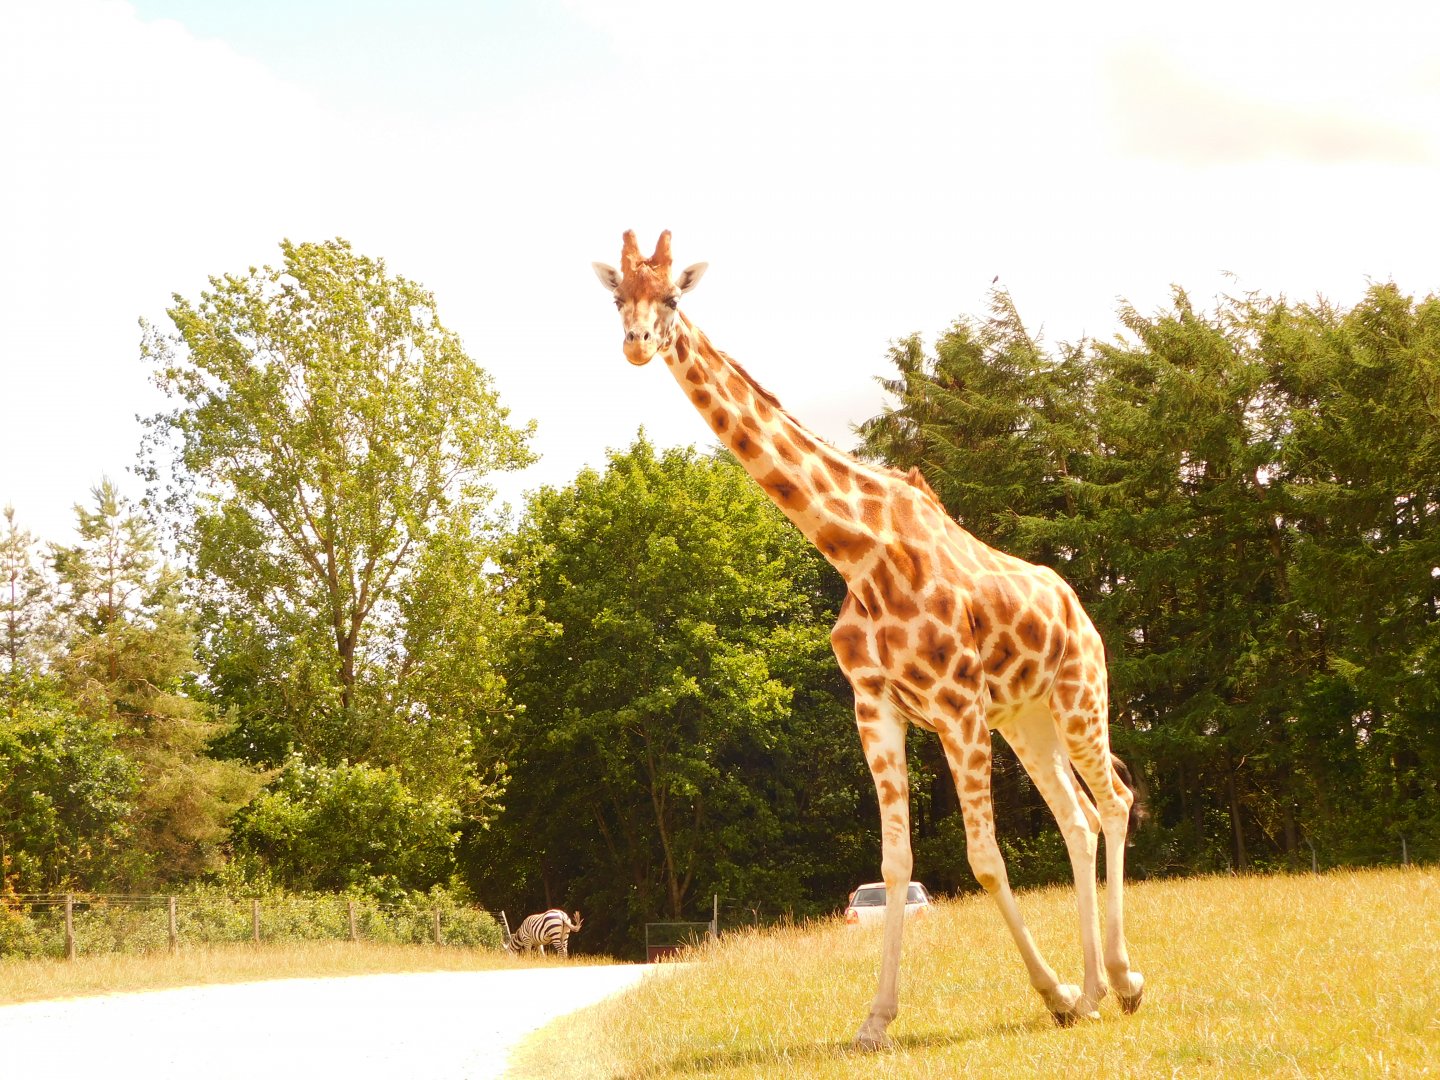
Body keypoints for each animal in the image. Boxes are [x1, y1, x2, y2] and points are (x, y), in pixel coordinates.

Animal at [592, 230, 1144, 1049]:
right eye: (615, 297)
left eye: (672, 296)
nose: (635, 344)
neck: (856, 549)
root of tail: (1081, 609)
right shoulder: (878, 707)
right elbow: (893, 864)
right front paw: (877, 1020)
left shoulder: (956, 707)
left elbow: (983, 858)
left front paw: (1051, 990)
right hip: (1027, 719)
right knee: (1075, 819)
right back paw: (1096, 992)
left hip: (1080, 692)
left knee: (1114, 798)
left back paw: (1123, 980)